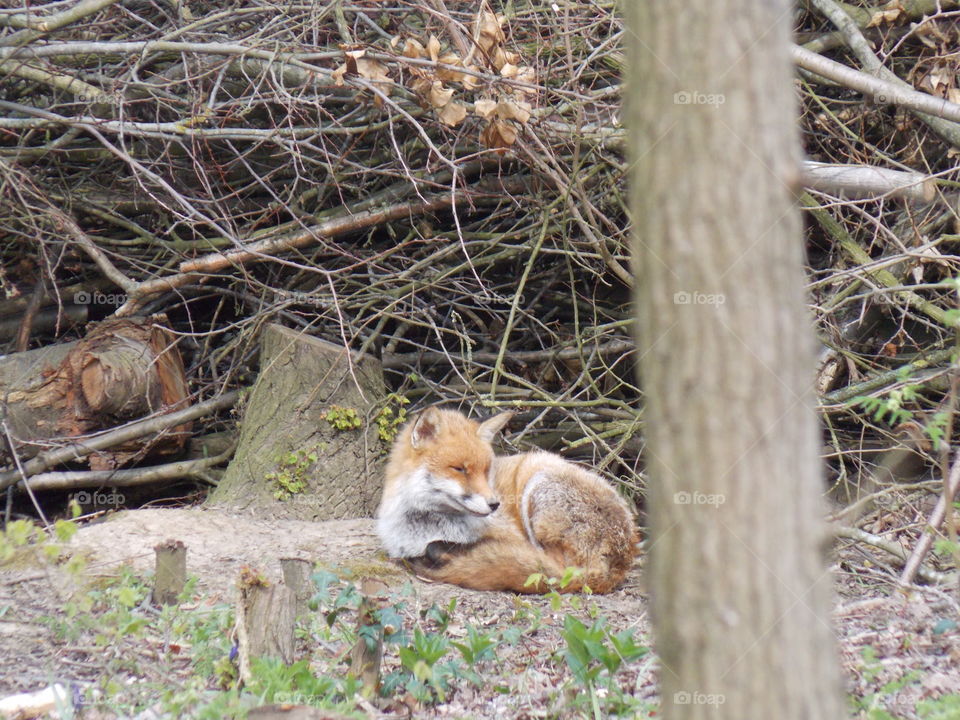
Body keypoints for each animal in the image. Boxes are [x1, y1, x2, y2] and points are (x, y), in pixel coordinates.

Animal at [375, 406, 639, 594]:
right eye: (459, 469)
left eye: (486, 470)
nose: (495, 504)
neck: (427, 526)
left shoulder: (512, 536)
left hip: (537, 482)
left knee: (551, 569)